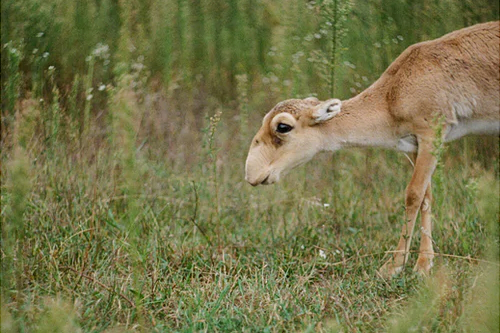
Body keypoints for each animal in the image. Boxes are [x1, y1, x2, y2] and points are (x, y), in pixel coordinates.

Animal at [244, 19, 498, 276]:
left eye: (282, 126)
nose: (251, 173)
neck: (392, 97)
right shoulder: (414, 145)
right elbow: (426, 196)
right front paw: (425, 262)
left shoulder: (431, 134)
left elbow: (413, 194)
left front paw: (394, 265)